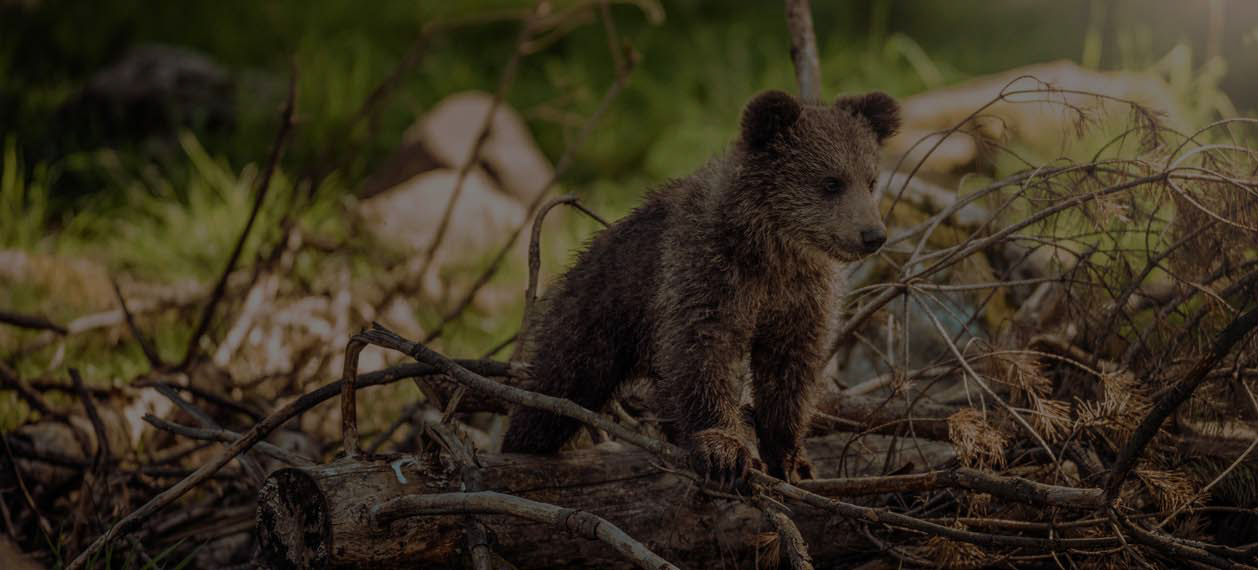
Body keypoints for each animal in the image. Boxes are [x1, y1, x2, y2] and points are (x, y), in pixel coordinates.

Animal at [501, 89, 900, 485]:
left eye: (871, 180)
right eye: (831, 182)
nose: (872, 235)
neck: (773, 250)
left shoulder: (800, 297)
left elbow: (790, 369)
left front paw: (791, 459)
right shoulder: (707, 272)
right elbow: (704, 354)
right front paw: (724, 451)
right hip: (597, 313)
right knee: (557, 387)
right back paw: (521, 444)